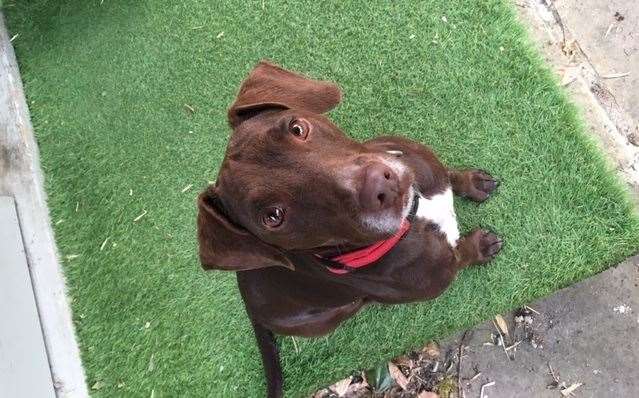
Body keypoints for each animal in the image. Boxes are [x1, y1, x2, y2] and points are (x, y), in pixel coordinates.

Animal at [198, 60, 502, 396]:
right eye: (274, 216)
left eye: (297, 128)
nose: (379, 186)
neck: (416, 212)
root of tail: (250, 306)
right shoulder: (442, 271)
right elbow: (460, 255)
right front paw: (480, 246)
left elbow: (449, 174)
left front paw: (473, 182)